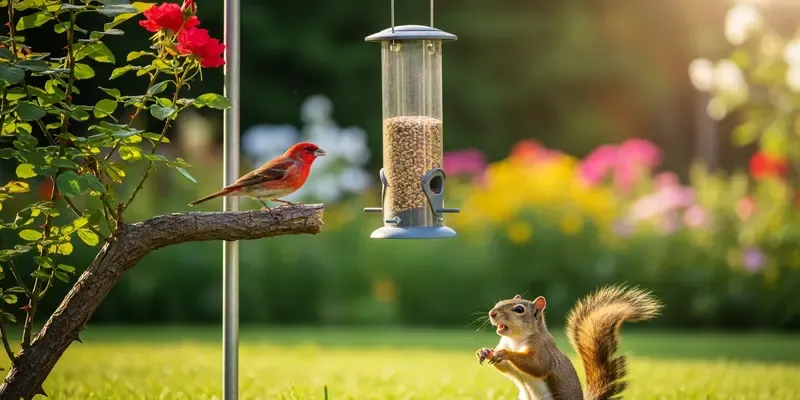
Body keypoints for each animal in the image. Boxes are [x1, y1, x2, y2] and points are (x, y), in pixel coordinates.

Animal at [475, 284, 663, 400]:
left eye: (519, 309)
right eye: (500, 302)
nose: (492, 313)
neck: (515, 340)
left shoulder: (543, 349)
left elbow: (537, 365)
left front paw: (504, 353)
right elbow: (506, 367)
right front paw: (485, 351)